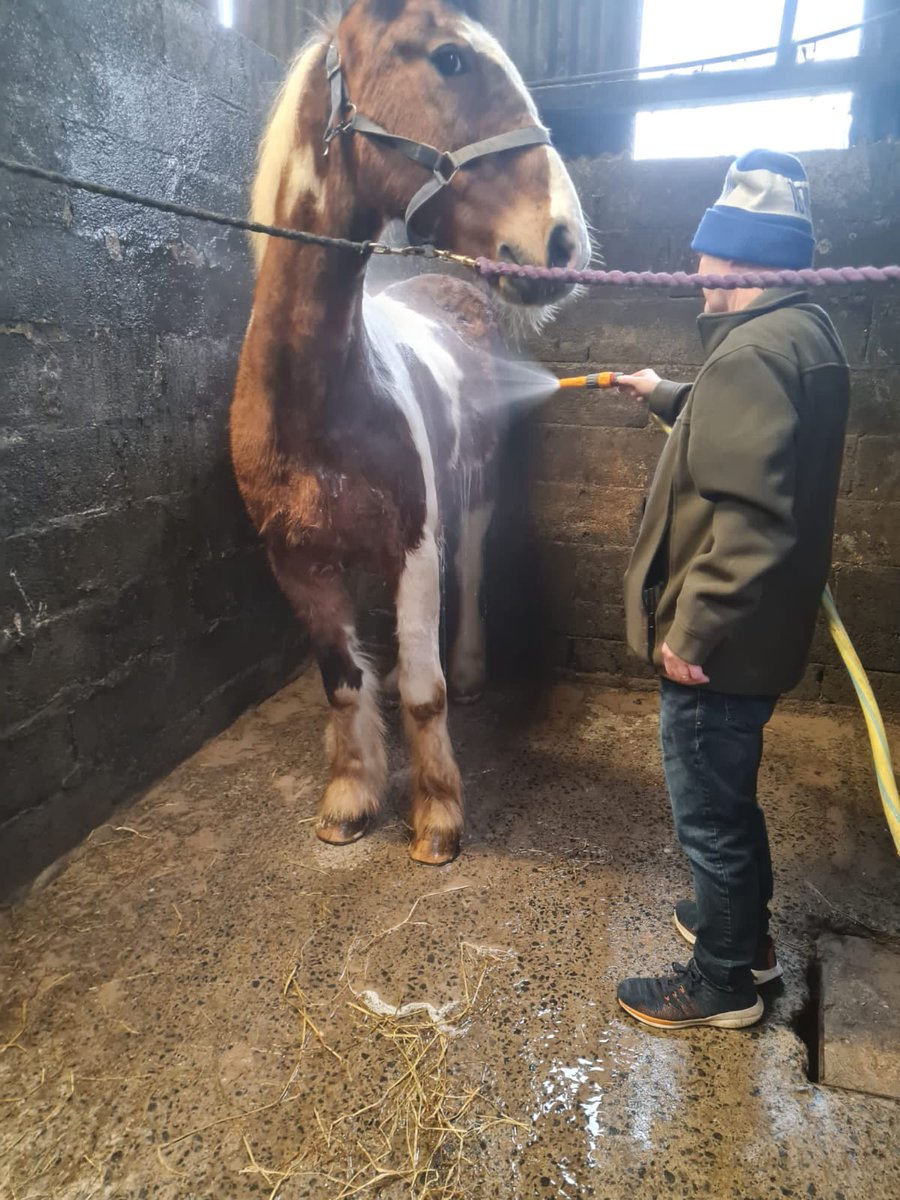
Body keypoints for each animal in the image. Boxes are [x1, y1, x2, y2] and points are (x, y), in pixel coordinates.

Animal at [230, 0, 592, 868]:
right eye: (450, 60)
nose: (563, 242)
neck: (322, 397)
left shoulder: (412, 543)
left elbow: (427, 693)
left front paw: (437, 816)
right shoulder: (296, 560)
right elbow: (342, 681)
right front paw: (350, 798)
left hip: (473, 491)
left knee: (471, 570)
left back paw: (472, 668)